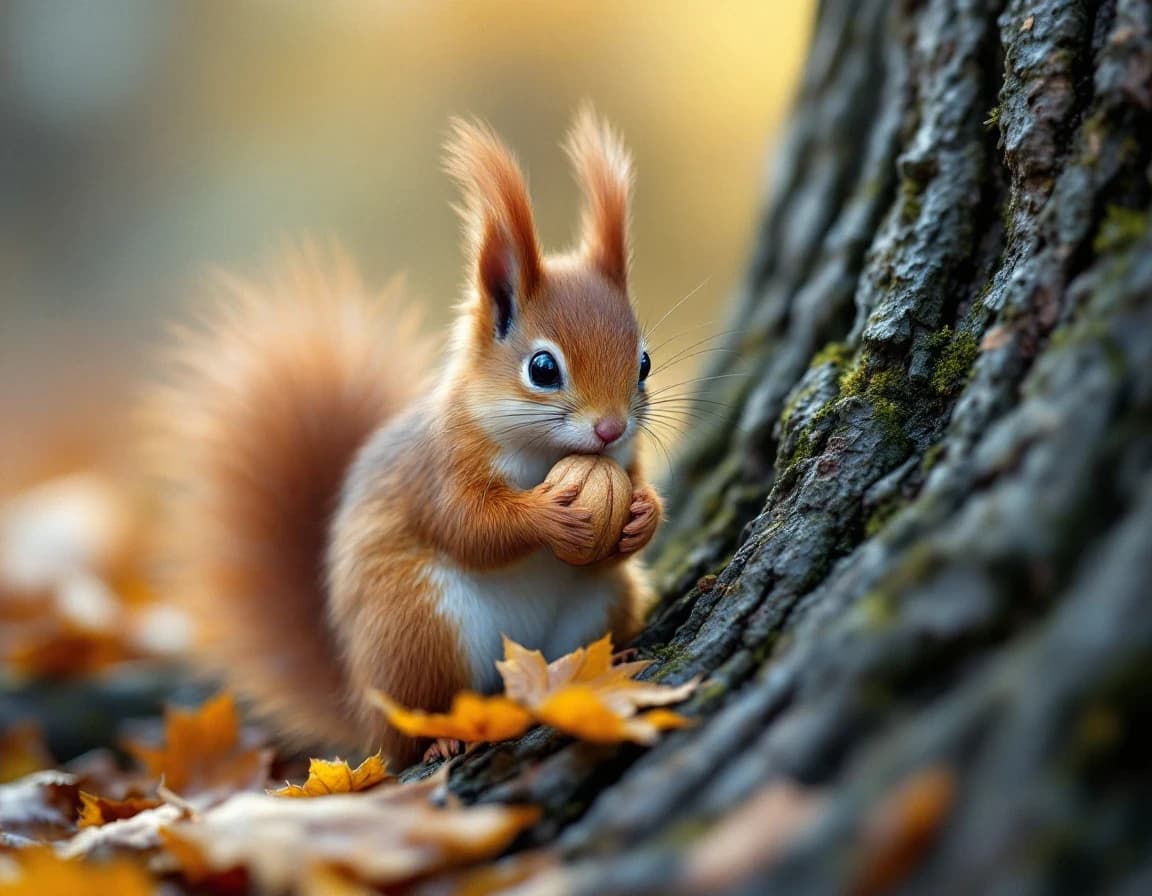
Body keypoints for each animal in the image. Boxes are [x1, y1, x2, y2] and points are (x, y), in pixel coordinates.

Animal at [146, 107, 662, 766]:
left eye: (644, 363)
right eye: (543, 369)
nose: (609, 426)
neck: (545, 454)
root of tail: (361, 704)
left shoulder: (625, 459)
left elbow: (629, 514)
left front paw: (643, 513)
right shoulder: (441, 468)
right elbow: (470, 527)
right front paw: (547, 515)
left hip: (600, 602)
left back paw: (614, 661)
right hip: (419, 628)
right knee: (412, 727)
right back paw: (441, 734)